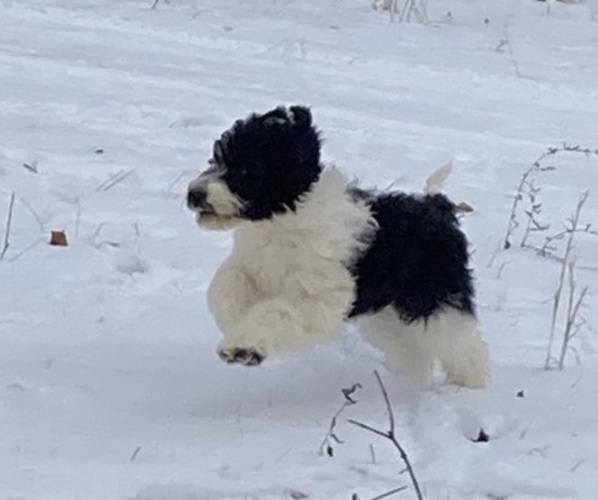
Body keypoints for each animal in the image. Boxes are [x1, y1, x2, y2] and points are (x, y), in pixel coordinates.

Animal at [189, 103, 492, 388]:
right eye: (215, 157)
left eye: (244, 169)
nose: (194, 194)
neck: (283, 222)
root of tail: (438, 207)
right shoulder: (251, 264)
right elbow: (227, 284)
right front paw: (234, 322)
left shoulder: (318, 296)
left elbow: (278, 312)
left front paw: (242, 346)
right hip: (388, 314)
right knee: (410, 350)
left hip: (436, 299)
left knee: (462, 345)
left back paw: (466, 389)